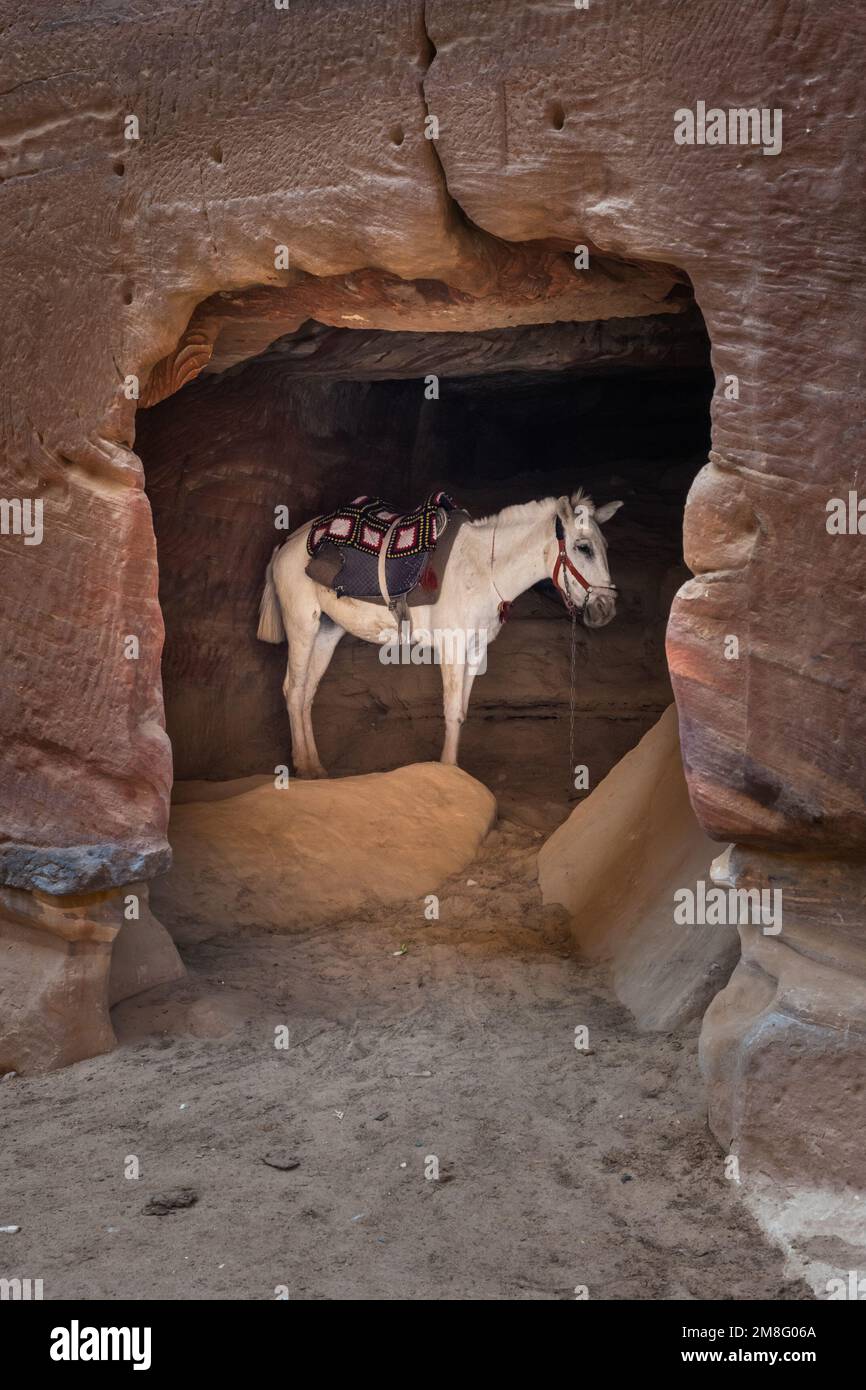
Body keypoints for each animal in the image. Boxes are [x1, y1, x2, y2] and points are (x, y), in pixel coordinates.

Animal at [257, 492, 622, 778]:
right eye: (583, 547)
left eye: (605, 546)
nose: (605, 609)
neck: (483, 570)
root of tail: (286, 544)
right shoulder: (452, 648)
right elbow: (450, 711)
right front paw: (447, 771)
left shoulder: (476, 651)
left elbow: (460, 711)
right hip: (302, 626)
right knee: (293, 690)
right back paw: (303, 767)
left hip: (326, 631)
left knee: (307, 693)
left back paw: (315, 767)